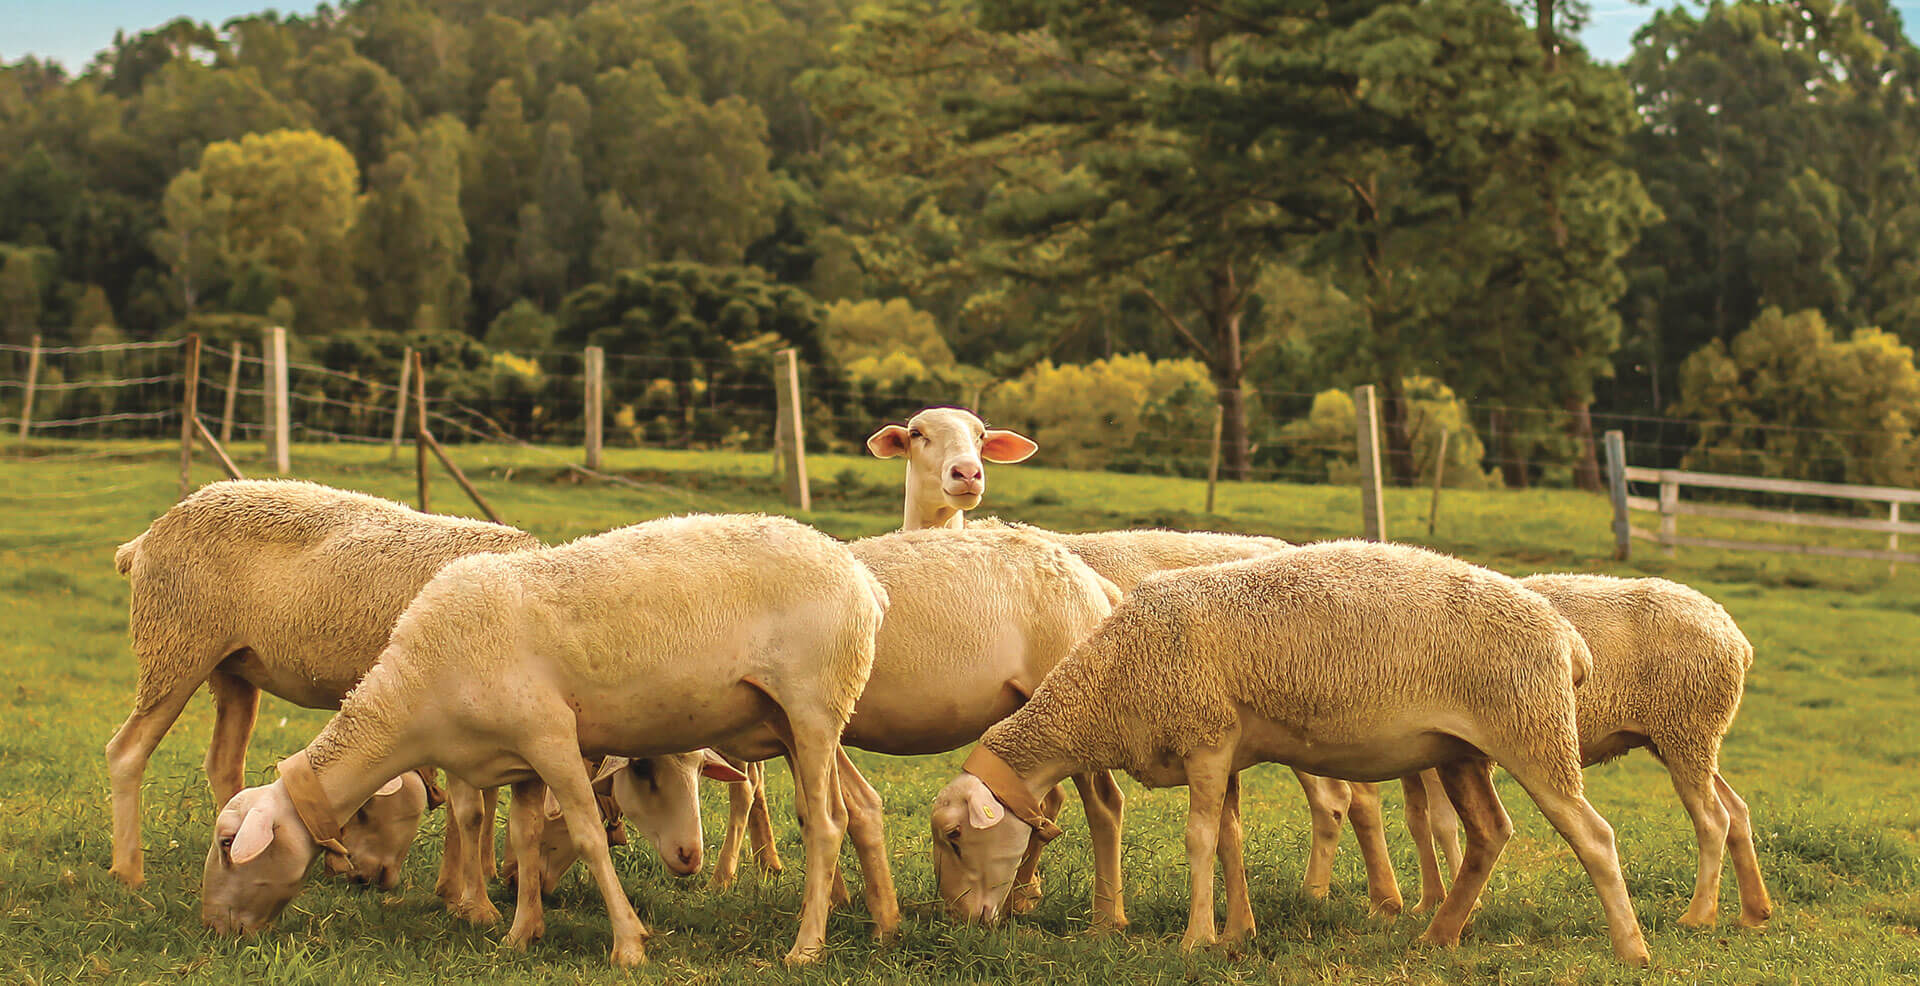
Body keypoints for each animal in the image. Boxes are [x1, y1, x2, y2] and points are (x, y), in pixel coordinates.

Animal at [109, 479, 537, 886]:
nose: (367, 880)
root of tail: (147, 537)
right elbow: (472, 808)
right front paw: (458, 886)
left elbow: (491, 794)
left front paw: (489, 871)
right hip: (174, 647)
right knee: (126, 752)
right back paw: (129, 871)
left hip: (233, 667)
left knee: (224, 761)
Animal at [194, 510, 883, 962]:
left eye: (229, 844)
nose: (213, 927)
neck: (414, 693)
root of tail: (861, 580)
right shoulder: (517, 757)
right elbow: (522, 840)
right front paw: (520, 933)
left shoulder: (551, 736)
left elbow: (588, 834)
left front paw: (629, 945)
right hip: (789, 719)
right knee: (846, 811)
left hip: (813, 708)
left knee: (825, 824)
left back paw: (806, 948)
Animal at [929, 537, 1651, 959]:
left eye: (956, 838)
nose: (958, 923)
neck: (1106, 683)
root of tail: (1567, 638)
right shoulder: (1223, 751)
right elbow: (1230, 839)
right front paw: (1237, 933)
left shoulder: (1205, 736)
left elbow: (1199, 838)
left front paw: (1194, 941)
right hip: (1461, 751)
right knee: (1489, 834)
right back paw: (1438, 935)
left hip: (1534, 732)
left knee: (1594, 837)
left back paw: (1631, 950)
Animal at [1405, 571, 1774, 924]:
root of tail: (1736, 637)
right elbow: (1417, 822)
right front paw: (1428, 900)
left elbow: (1443, 824)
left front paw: (1461, 902)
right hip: (1680, 738)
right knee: (1736, 808)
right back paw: (1754, 911)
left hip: (1687, 728)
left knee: (1713, 819)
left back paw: (1698, 916)